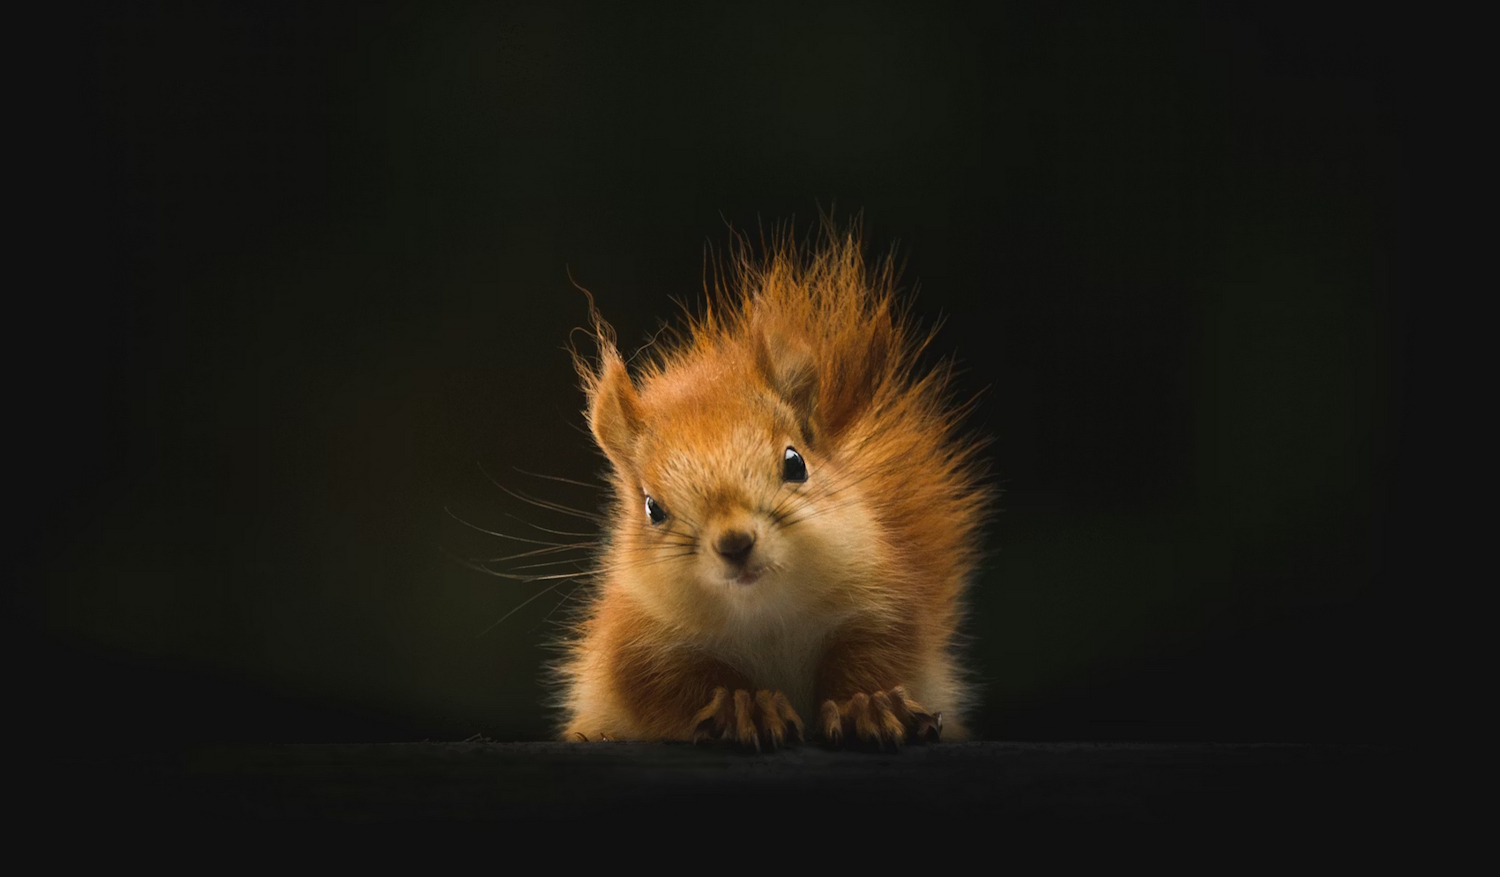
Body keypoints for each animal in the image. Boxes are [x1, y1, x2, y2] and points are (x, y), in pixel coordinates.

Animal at [554, 225, 989, 748]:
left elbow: (875, 657)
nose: (735, 542)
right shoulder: (638, 646)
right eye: (652, 508)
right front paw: (746, 708)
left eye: (795, 463)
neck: (764, 616)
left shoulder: (882, 602)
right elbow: (677, 687)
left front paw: (869, 704)